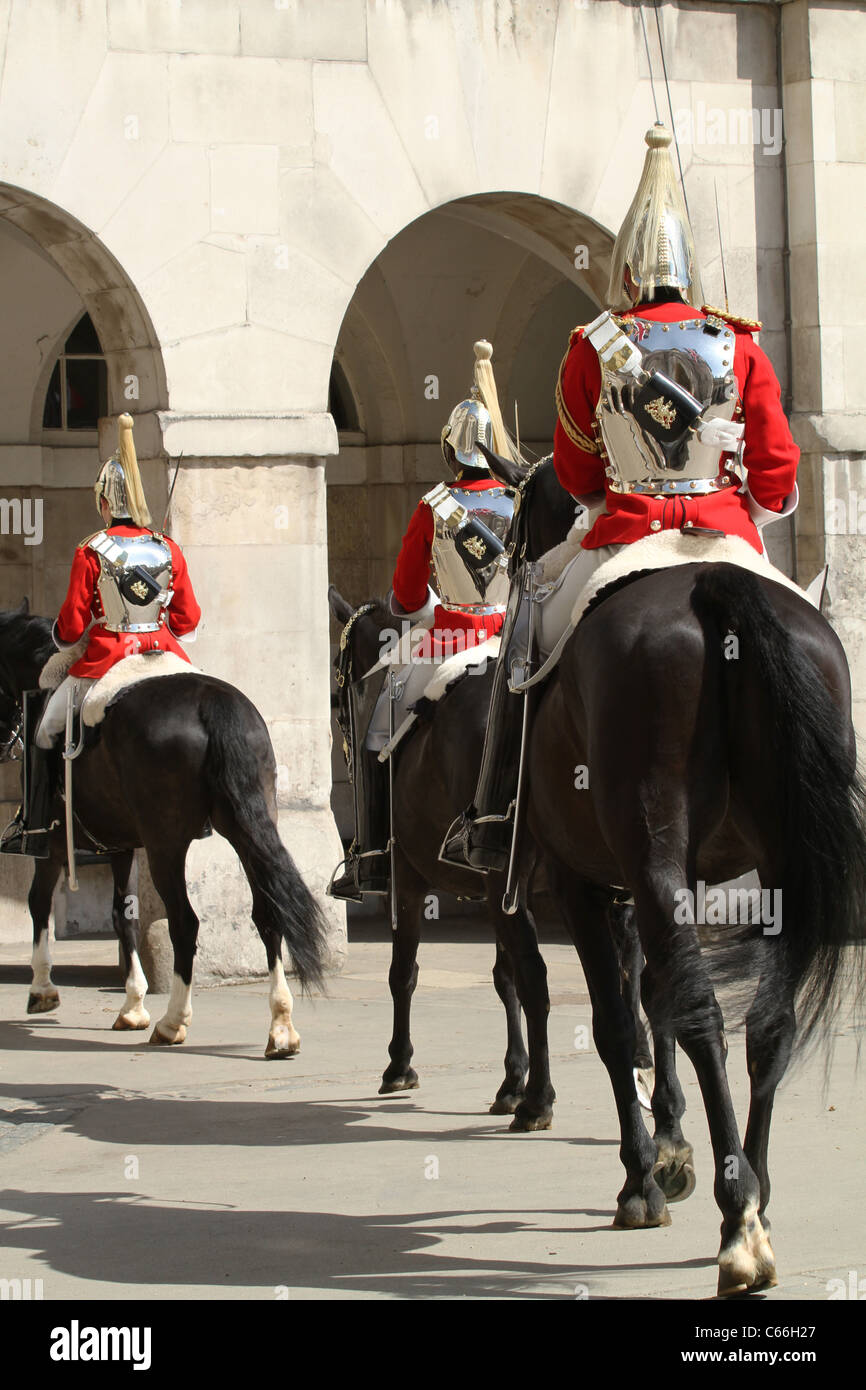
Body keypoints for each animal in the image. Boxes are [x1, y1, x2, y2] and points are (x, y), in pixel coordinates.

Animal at [0, 603, 328, 1056]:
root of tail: (212, 702)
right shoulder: (119, 845)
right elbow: (123, 915)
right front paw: (132, 1005)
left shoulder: (52, 842)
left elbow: (39, 903)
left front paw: (42, 989)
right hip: (245, 830)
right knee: (268, 914)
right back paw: (281, 1027)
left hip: (165, 845)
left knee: (185, 923)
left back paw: (173, 1022)